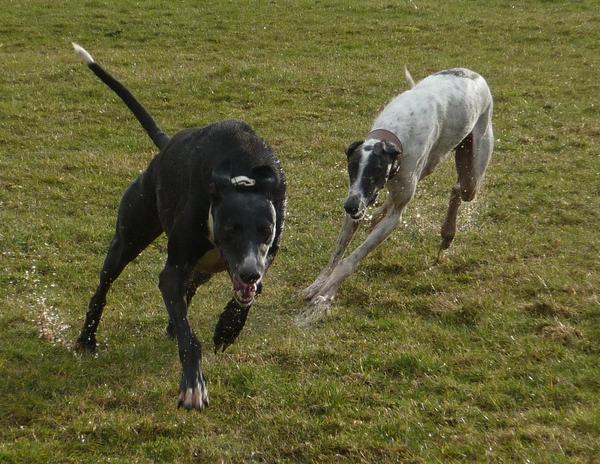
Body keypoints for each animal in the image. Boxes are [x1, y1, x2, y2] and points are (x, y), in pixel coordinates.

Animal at [71, 44, 288, 410]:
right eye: (230, 229)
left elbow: (246, 297)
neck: (242, 178)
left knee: (190, 291)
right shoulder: (173, 271)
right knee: (104, 287)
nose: (248, 273)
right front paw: (193, 385)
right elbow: (189, 336)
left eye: (266, 231)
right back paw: (87, 338)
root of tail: (166, 145)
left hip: (204, 268)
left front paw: (228, 327)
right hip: (129, 236)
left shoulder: (265, 254)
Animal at [302, 67, 494, 310]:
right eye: (351, 169)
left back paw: (447, 233)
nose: (350, 207)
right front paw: (318, 283)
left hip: (472, 170)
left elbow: (351, 259)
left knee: (459, 188)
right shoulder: (359, 197)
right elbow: (337, 253)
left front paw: (327, 292)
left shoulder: (391, 216)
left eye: (374, 173)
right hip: (429, 168)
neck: (395, 132)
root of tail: (473, 73)